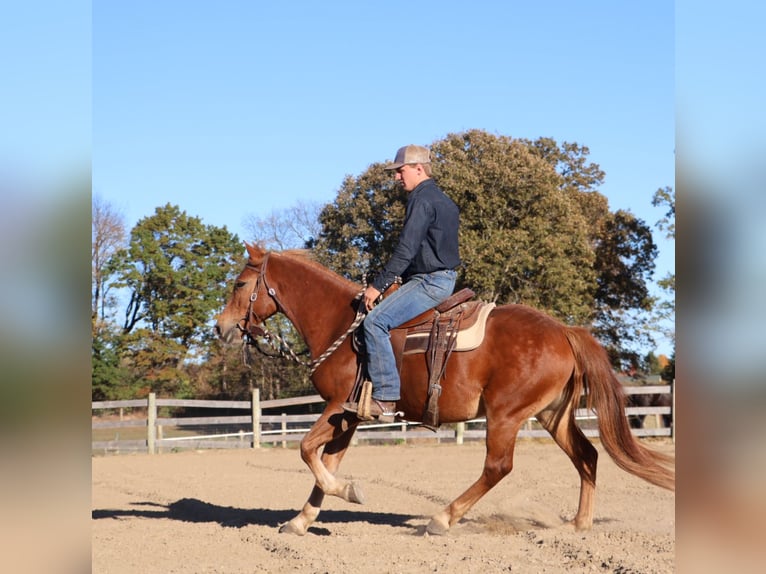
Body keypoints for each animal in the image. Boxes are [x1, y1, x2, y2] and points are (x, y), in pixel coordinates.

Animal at [214, 244, 674, 536]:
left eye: (239, 284)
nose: (221, 328)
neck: (342, 327)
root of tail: (563, 331)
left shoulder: (334, 406)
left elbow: (307, 451)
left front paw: (348, 492)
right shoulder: (349, 415)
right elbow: (326, 461)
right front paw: (300, 521)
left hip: (506, 414)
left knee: (498, 467)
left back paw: (442, 519)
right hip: (551, 414)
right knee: (587, 455)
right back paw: (579, 523)